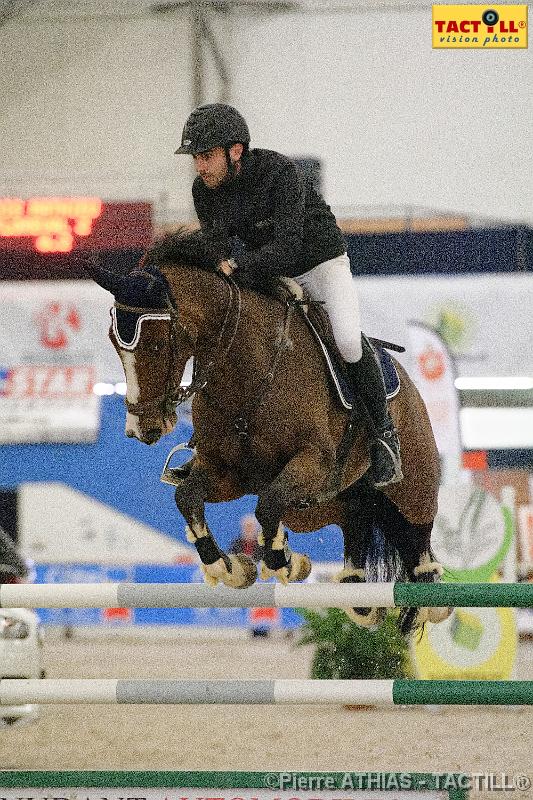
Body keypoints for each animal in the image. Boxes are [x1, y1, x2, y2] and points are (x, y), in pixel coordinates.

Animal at [89, 230, 450, 632]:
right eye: (113, 342)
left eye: (154, 343)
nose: (142, 428)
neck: (247, 372)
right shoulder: (227, 474)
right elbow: (188, 496)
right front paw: (229, 566)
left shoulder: (313, 463)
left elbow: (267, 505)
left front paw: (284, 561)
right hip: (319, 508)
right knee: (355, 520)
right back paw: (358, 594)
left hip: (411, 487)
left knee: (417, 534)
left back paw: (429, 591)